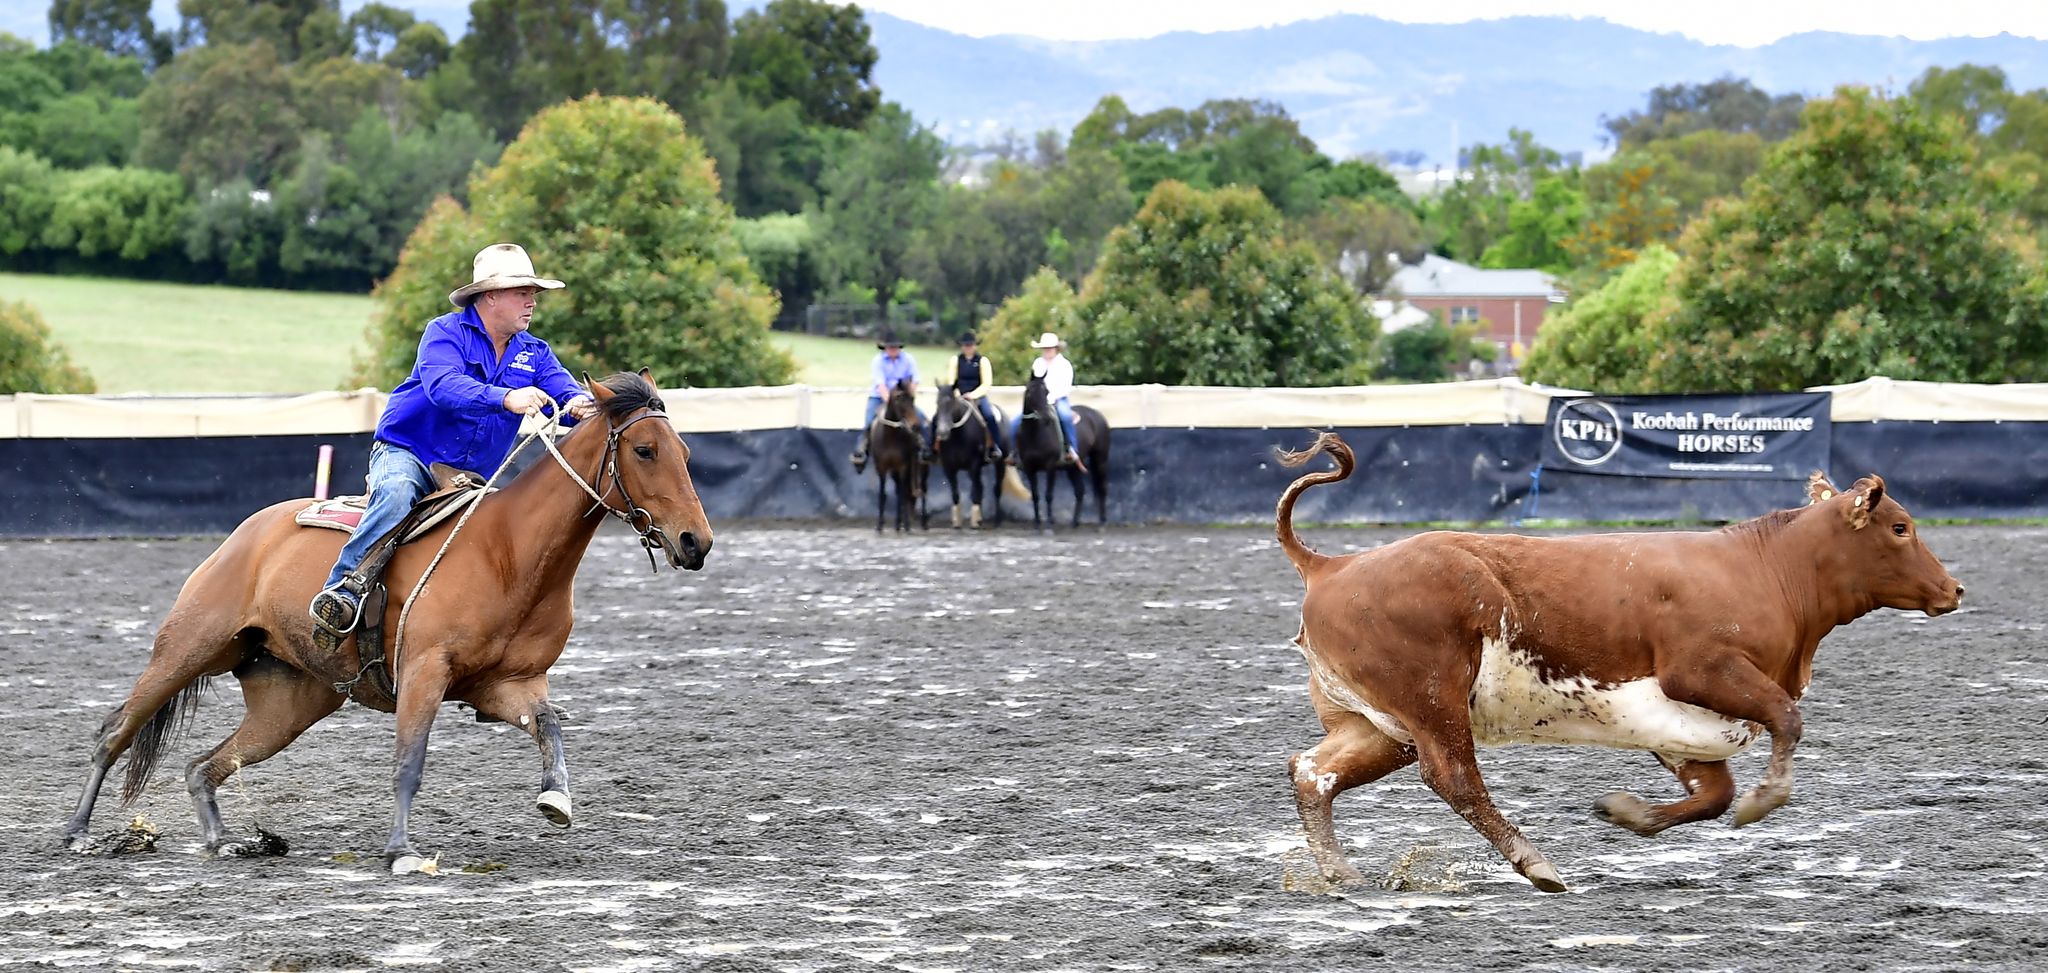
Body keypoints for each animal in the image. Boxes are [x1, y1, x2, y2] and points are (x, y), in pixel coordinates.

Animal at [62, 371, 714, 874]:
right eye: (645, 450)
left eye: (685, 454)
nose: (696, 542)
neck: (509, 552)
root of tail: (246, 535)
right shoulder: (425, 670)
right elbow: (409, 761)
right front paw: (402, 851)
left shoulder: (508, 685)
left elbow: (550, 727)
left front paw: (556, 798)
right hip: (187, 648)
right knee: (114, 732)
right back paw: (77, 832)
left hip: (289, 703)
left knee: (204, 765)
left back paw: (223, 842)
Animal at [867, 378, 927, 532]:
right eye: (899, 398)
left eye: (912, 398)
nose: (915, 426)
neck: (890, 437)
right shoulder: (882, 469)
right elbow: (883, 494)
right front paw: (880, 525)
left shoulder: (903, 467)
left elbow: (902, 495)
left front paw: (905, 524)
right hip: (894, 473)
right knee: (901, 491)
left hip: (922, 471)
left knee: (922, 491)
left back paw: (923, 523)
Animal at [933, 385, 1005, 530]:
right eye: (937, 403)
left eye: (952, 404)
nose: (942, 432)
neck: (958, 435)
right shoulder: (949, 468)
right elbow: (955, 493)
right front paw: (957, 522)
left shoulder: (974, 465)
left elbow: (975, 492)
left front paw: (974, 523)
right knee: (981, 488)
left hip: (1001, 463)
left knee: (997, 489)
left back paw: (997, 521)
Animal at [1013, 371, 1109, 532]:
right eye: (1030, 392)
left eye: (1046, 392)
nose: (1046, 418)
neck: (1035, 434)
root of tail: (1098, 415)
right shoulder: (1029, 468)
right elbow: (1035, 495)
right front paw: (1037, 524)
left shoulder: (1050, 466)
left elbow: (1048, 495)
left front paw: (1048, 525)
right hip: (1072, 467)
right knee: (1080, 491)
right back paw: (1074, 523)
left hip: (1100, 459)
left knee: (1102, 488)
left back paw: (1102, 523)